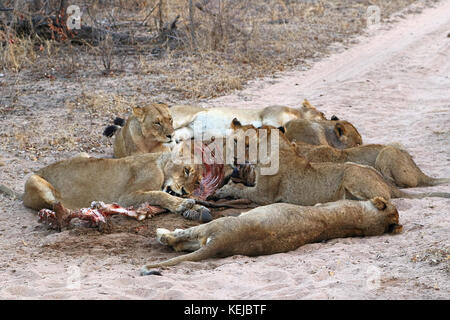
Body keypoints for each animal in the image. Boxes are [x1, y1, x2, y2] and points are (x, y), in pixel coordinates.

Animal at [22, 149, 214, 222]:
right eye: (186, 171)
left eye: (197, 182)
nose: (184, 191)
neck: (160, 162)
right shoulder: (127, 196)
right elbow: (159, 194)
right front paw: (182, 204)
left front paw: (196, 207)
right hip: (34, 180)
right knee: (54, 205)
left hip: (83, 154)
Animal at [141, 196, 400, 272]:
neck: (364, 219)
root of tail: (223, 241)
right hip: (208, 241)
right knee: (183, 245)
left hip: (215, 225)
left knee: (179, 239)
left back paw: (164, 232)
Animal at [214, 124, 450, 206]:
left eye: (243, 143)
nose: (233, 161)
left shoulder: (264, 195)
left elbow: (239, 189)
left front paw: (223, 189)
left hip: (354, 171)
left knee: (382, 198)